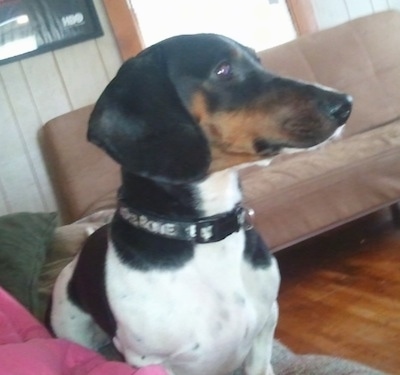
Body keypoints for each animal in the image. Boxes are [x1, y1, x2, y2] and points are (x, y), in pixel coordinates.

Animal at [49, 33, 350, 375]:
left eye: (258, 61)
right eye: (223, 70)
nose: (345, 104)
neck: (205, 235)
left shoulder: (266, 325)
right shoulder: (148, 361)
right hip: (72, 328)